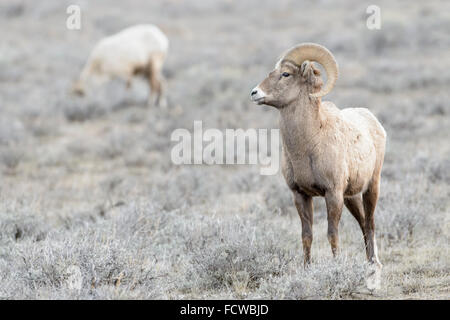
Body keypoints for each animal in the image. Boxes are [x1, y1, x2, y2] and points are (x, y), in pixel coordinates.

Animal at [250, 42, 386, 284]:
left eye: (286, 74)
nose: (254, 93)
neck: (309, 144)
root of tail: (374, 121)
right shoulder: (300, 195)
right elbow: (307, 235)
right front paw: (307, 270)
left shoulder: (332, 194)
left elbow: (332, 234)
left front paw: (336, 269)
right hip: (351, 197)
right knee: (362, 223)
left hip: (371, 188)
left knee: (369, 223)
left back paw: (373, 268)